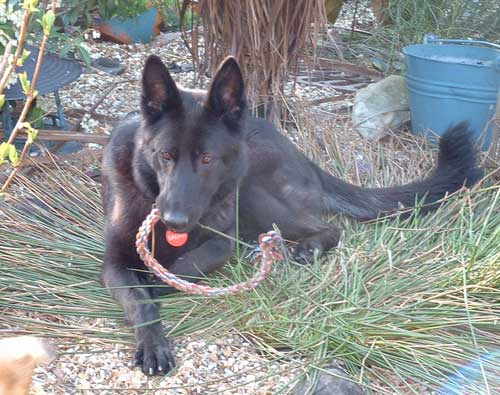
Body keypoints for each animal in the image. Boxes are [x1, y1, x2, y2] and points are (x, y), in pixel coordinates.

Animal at [100, 54, 480, 376]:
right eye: (165, 155)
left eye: (207, 159)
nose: (174, 219)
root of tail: (303, 157)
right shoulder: (113, 264)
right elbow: (139, 301)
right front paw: (152, 340)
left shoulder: (221, 243)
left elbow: (185, 268)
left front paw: (158, 283)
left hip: (251, 186)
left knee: (328, 227)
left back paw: (306, 248)